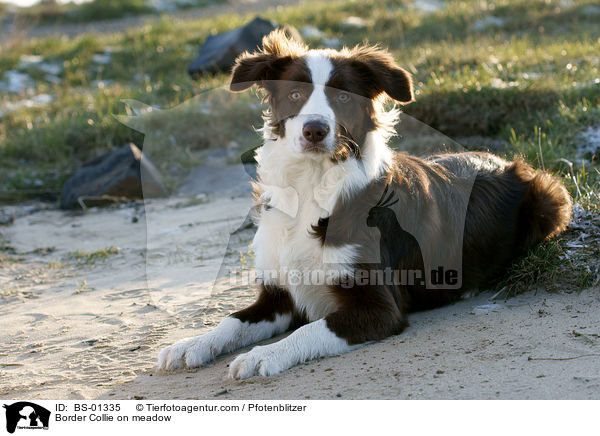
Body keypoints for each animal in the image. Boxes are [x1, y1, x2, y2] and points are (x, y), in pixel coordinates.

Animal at [158, 29, 572, 378]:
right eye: (294, 95)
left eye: (343, 97)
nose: (315, 130)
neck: (311, 186)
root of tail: (505, 160)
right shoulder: (278, 295)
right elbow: (231, 320)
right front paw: (192, 343)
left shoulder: (380, 307)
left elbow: (311, 329)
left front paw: (265, 354)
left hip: (553, 196)